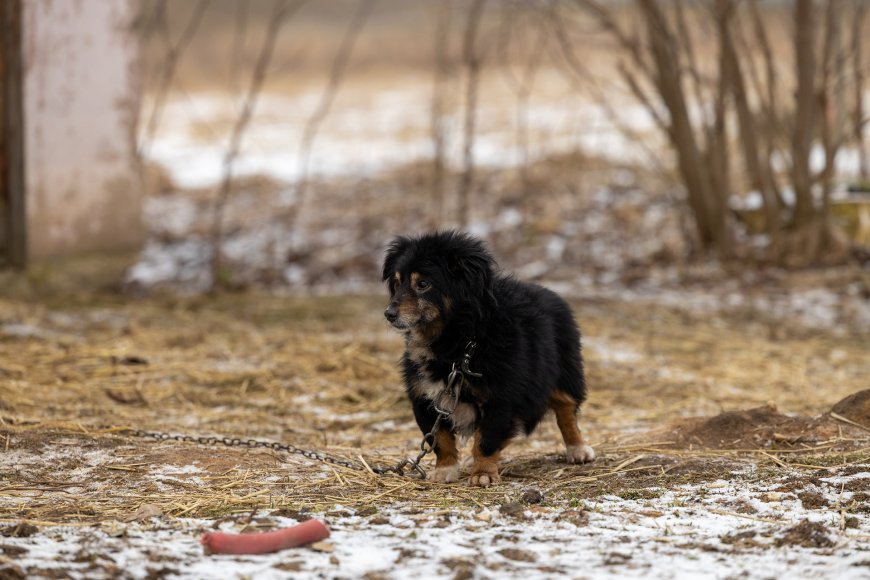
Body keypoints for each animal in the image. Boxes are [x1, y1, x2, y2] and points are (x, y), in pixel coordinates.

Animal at [384, 230, 596, 484]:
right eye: (397, 283)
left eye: (423, 284)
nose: (388, 314)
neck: (460, 342)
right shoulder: (424, 398)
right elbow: (440, 439)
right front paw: (445, 470)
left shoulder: (500, 397)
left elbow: (487, 439)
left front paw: (483, 473)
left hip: (565, 372)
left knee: (566, 409)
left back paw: (578, 449)